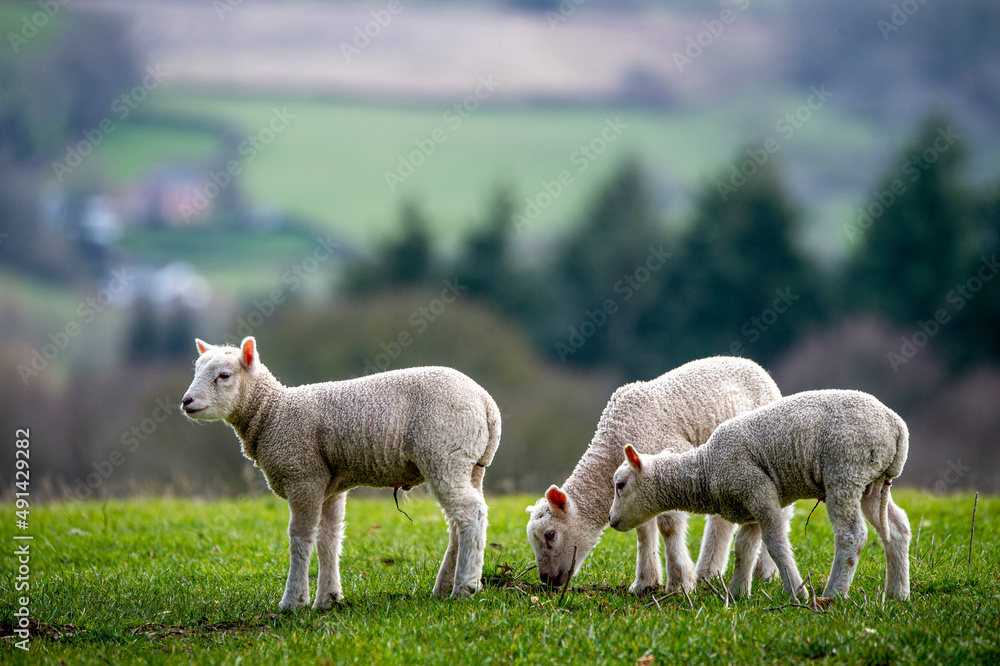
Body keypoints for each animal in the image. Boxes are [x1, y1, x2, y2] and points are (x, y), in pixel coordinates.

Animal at [180, 336, 501, 609]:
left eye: (224, 375)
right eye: (197, 370)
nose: (186, 401)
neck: (272, 412)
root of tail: (486, 403)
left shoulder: (303, 476)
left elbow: (300, 537)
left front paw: (293, 602)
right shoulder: (329, 485)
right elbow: (328, 538)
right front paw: (327, 599)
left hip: (444, 453)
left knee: (470, 513)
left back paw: (465, 588)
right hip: (469, 463)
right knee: (460, 520)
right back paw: (445, 586)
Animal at [525, 356, 790, 594]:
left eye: (550, 534)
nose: (547, 580)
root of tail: (755, 366)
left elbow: (669, 526)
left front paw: (679, 583)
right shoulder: (636, 487)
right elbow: (643, 530)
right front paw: (645, 582)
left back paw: (765, 571)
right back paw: (709, 572)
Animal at [609, 389, 911, 602]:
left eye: (620, 484)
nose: (611, 520)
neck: (705, 469)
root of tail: (896, 427)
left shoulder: (758, 490)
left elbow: (775, 543)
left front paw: (796, 591)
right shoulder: (749, 503)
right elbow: (744, 547)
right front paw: (737, 593)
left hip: (846, 470)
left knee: (852, 535)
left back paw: (833, 594)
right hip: (872, 481)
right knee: (897, 527)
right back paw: (897, 593)